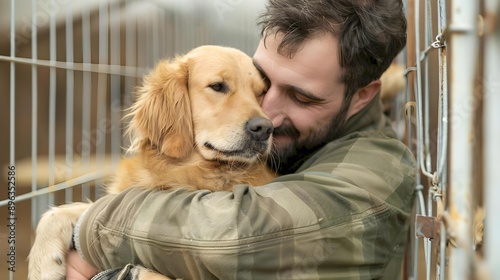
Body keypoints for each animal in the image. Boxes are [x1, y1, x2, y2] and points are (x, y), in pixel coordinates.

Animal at [28, 46, 278, 280]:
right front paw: (42, 265)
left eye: (261, 93)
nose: (265, 128)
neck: (185, 169)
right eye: (218, 86)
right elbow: (58, 213)